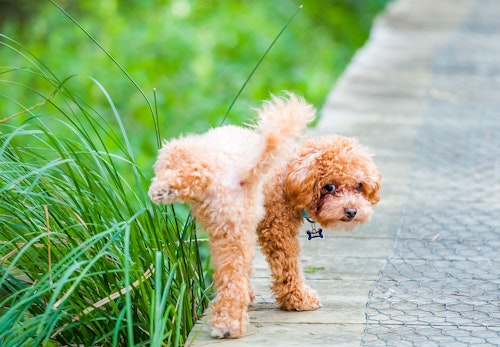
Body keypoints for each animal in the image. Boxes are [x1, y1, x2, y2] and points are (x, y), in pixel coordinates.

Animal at [146, 94, 314, 338]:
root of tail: (245, 171)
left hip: (191, 157)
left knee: (192, 171)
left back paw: (162, 189)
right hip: (234, 231)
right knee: (233, 279)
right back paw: (229, 324)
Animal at [256, 135, 380, 312]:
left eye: (359, 186)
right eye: (330, 187)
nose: (351, 211)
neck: (286, 177)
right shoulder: (278, 230)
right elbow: (288, 267)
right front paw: (299, 299)